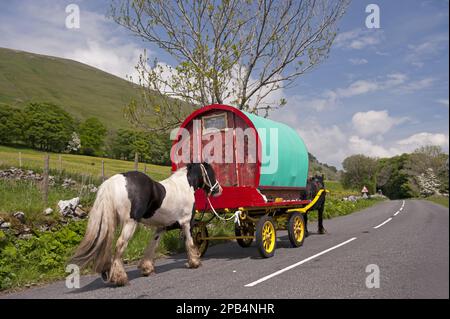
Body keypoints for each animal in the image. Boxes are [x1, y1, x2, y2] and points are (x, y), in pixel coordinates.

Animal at [71, 164, 223, 286]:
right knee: (120, 245)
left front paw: (147, 268)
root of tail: (115, 181)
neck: (184, 186)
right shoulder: (187, 224)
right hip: (130, 223)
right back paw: (120, 278)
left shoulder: (161, 228)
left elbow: (152, 246)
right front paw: (194, 262)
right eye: (212, 173)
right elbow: (190, 243)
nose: (219, 190)